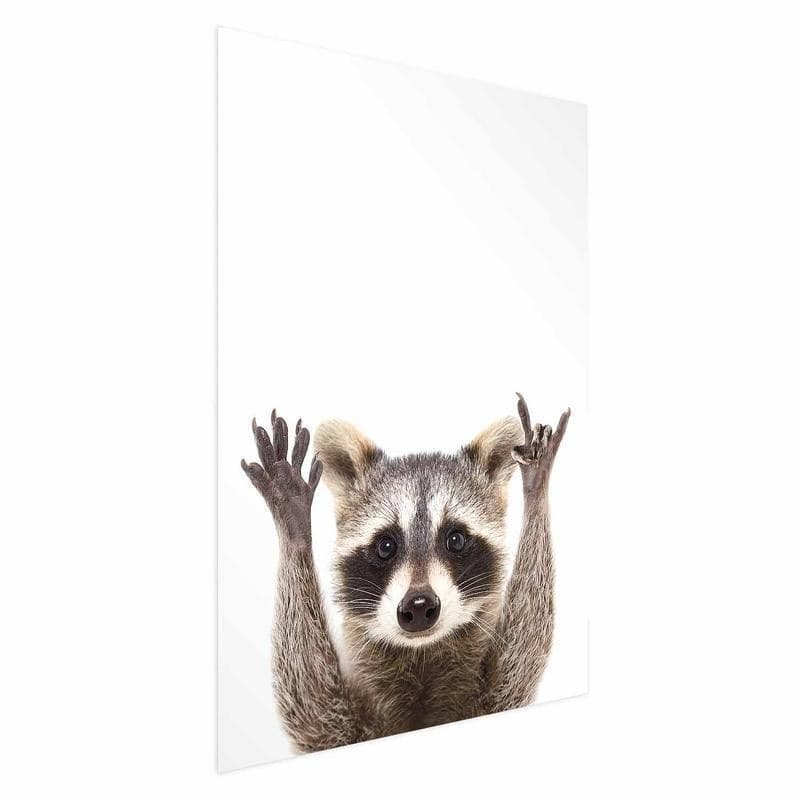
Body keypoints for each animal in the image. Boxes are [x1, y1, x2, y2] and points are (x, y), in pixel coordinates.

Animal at [241, 394, 570, 753]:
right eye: (386, 546)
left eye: (455, 539)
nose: (419, 605)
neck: (421, 655)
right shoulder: (338, 726)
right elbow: (310, 706)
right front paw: (294, 525)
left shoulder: (495, 698)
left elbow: (522, 654)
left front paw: (536, 488)